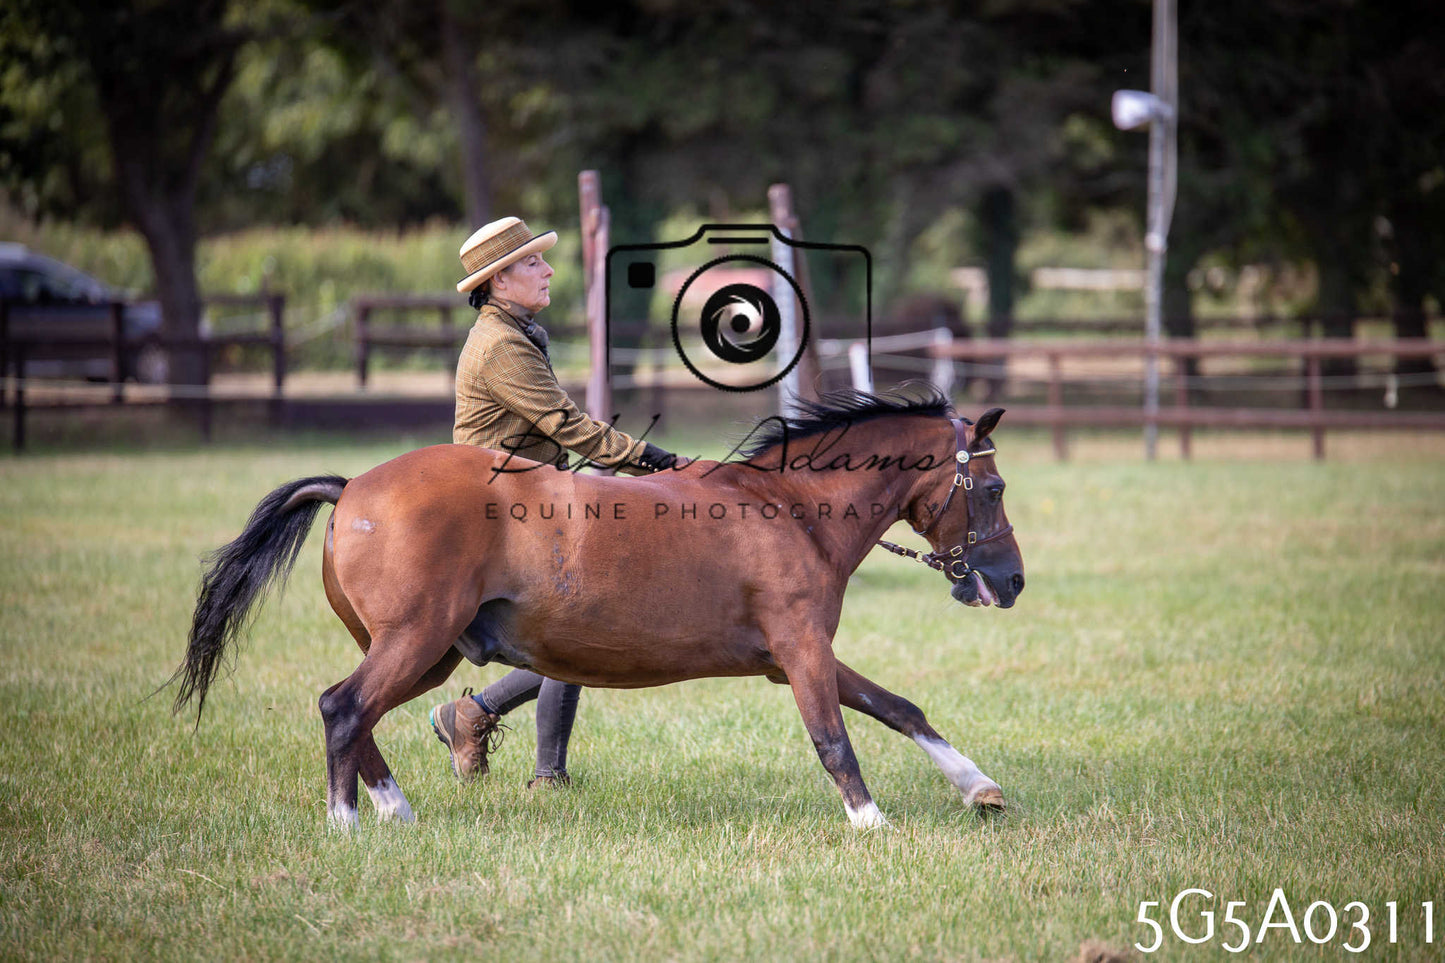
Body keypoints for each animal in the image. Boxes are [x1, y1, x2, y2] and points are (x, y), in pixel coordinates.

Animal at [171, 388, 1024, 830]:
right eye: (991, 488)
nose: (1010, 581)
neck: (790, 508)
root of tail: (350, 489)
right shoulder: (801, 650)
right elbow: (835, 738)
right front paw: (871, 824)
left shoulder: (790, 657)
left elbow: (900, 707)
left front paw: (977, 787)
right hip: (416, 640)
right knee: (343, 707)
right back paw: (348, 824)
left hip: (429, 650)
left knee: (360, 715)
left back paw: (396, 810)